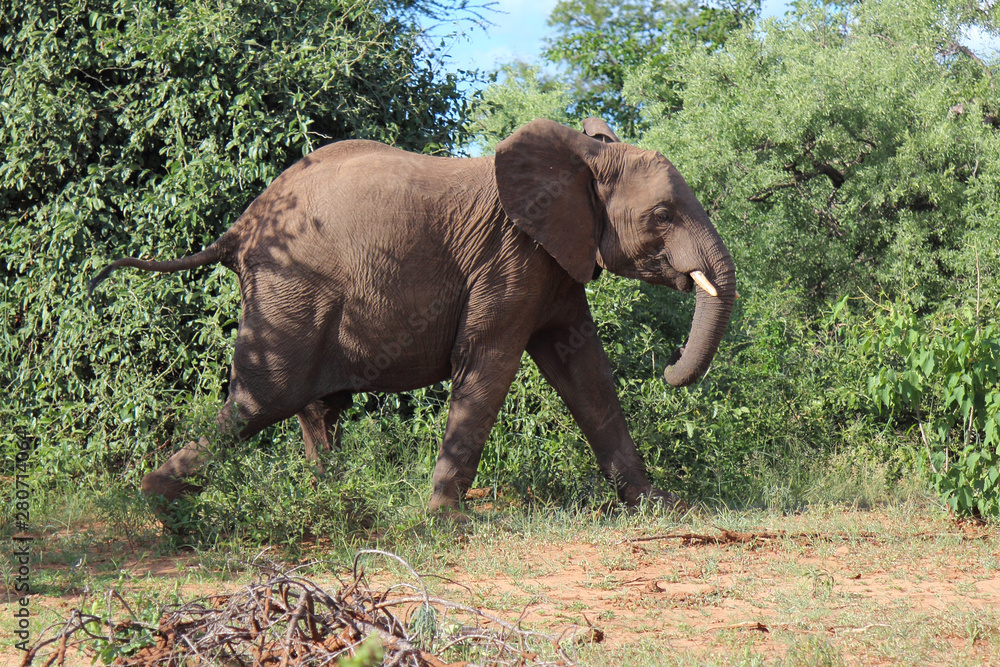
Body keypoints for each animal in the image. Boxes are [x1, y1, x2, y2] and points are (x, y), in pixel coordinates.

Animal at [90, 118, 740, 516]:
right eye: (662, 214)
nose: (668, 372)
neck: (583, 157)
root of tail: (243, 223)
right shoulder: (511, 256)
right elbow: (489, 362)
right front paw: (446, 520)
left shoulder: (554, 261)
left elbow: (584, 370)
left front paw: (660, 507)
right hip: (291, 284)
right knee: (266, 396)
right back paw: (159, 504)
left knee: (313, 404)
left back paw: (333, 499)